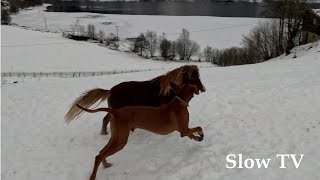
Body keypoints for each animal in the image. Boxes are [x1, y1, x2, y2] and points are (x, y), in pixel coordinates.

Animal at [64, 64, 205, 134]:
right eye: (193, 76)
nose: (203, 89)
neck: (168, 90)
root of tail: (110, 91)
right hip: (117, 110)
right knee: (106, 120)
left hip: (115, 110)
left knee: (105, 119)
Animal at [76, 83, 204, 180]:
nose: (202, 89)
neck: (179, 102)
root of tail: (116, 112)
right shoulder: (184, 129)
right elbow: (199, 127)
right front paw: (201, 135)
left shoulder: (184, 131)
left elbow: (192, 135)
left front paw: (198, 138)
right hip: (120, 141)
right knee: (99, 155)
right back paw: (93, 176)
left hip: (117, 137)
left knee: (101, 152)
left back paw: (106, 164)